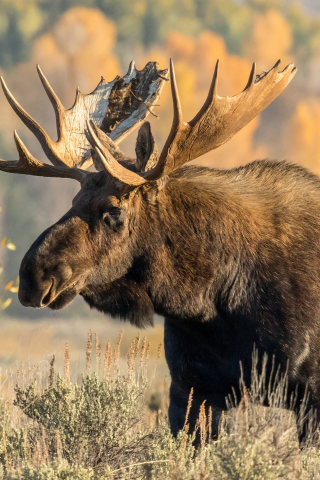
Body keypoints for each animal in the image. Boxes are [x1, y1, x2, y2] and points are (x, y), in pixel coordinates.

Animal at [1, 56, 318, 436]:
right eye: (74, 200)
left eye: (113, 211)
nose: (33, 277)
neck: (211, 301)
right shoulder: (191, 387)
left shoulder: (311, 394)